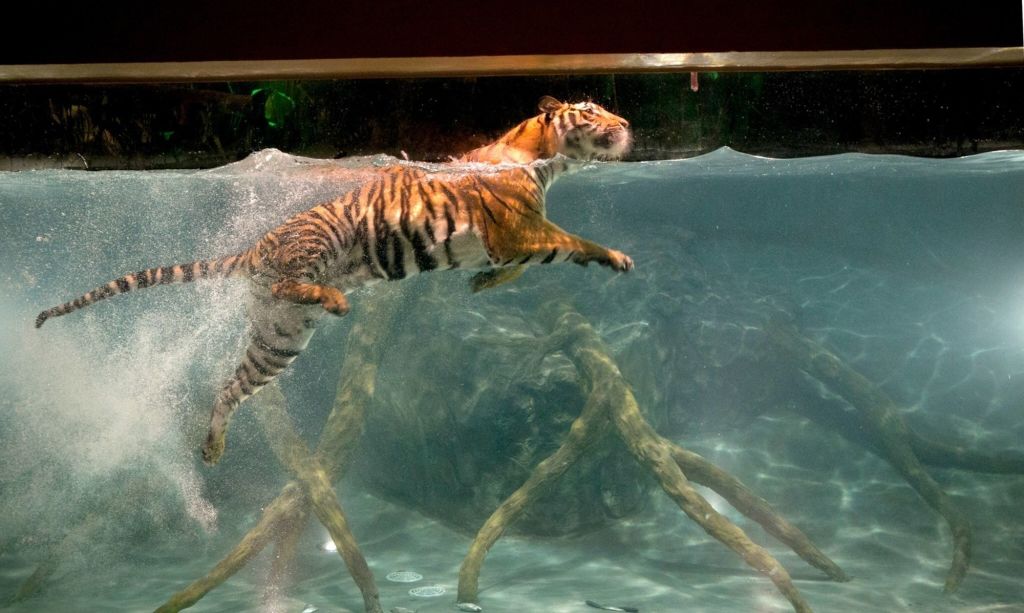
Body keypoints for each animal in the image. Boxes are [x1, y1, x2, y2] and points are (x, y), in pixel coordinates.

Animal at [35, 154, 633, 466]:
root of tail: (256, 247)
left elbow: (526, 260)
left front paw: (486, 281)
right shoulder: (514, 230)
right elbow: (562, 244)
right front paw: (613, 257)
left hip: (278, 341)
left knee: (231, 386)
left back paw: (212, 445)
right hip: (321, 246)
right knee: (296, 286)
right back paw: (337, 299)